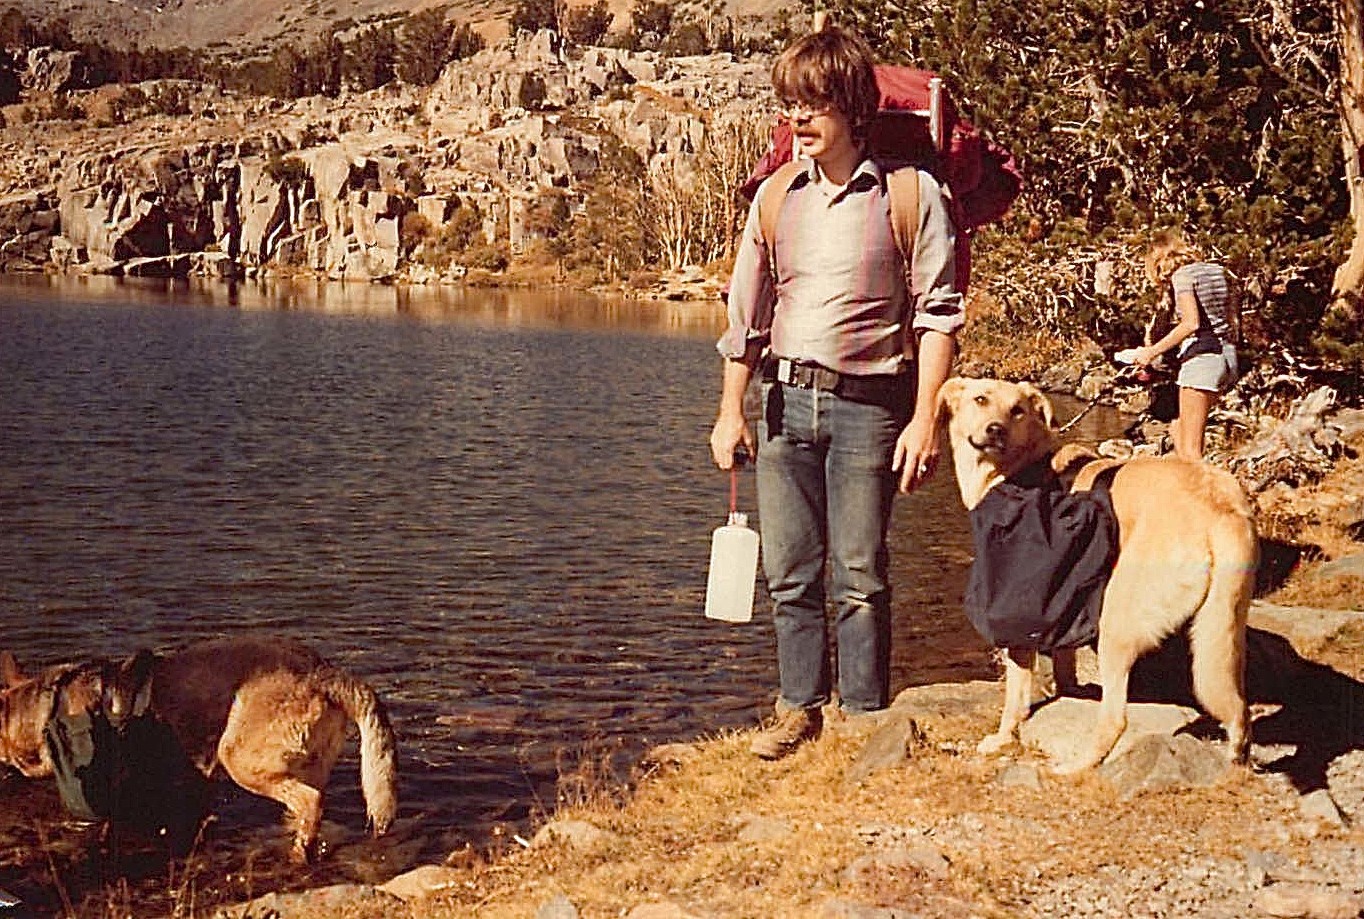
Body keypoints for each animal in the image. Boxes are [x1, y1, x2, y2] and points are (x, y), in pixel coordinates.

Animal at [0, 638, 398, 861]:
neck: (47, 706)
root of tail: (323, 671)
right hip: (301, 765)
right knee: (304, 809)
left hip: (238, 758)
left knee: (311, 803)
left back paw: (299, 856)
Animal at [938, 376, 1254, 769]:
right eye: (981, 400)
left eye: (1018, 410)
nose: (996, 430)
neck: (1021, 467)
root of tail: (1219, 508)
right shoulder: (1063, 600)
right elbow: (1064, 661)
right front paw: (1070, 690)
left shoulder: (1021, 619)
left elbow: (1015, 697)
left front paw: (1001, 739)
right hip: (1225, 629)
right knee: (1240, 709)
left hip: (1117, 624)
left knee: (1116, 718)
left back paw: (1078, 766)